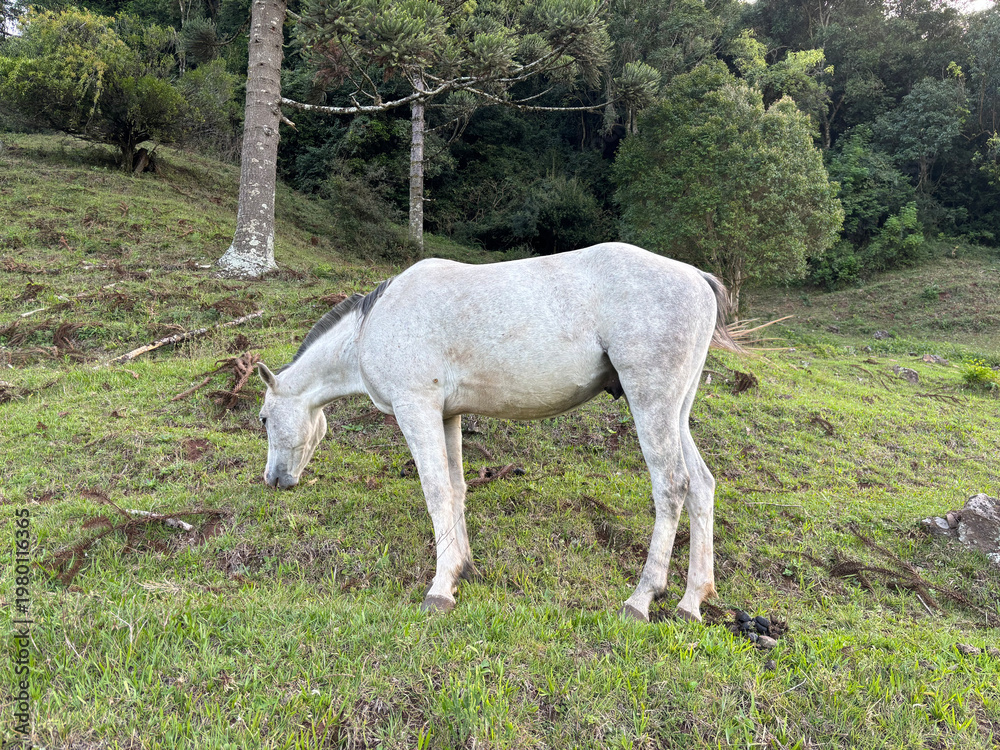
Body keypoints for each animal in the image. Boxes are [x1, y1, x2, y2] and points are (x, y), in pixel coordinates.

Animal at [256, 242, 739, 622]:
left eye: (262, 419)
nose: (274, 480)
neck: (369, 328)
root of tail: (695, 277)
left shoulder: (417, 410)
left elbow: (435, 492)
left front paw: (439, 590)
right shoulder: (447, 416)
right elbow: (455, 489)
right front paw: (462, 570)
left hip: (651, 403)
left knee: (672, 486)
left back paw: (641, 598)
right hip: (676, 412)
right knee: (701, 485)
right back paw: (691, 601)